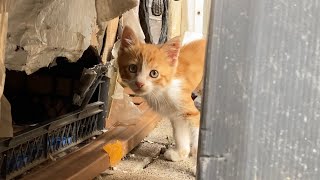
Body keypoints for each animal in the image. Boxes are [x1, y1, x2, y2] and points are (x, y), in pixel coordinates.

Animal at [117, 25, 205, 162]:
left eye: (154, 73)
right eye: (132, 68)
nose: (139, 83)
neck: (161, 91)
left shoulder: (188, 108)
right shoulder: (176, 115)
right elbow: (179, 133)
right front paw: (181, 153)